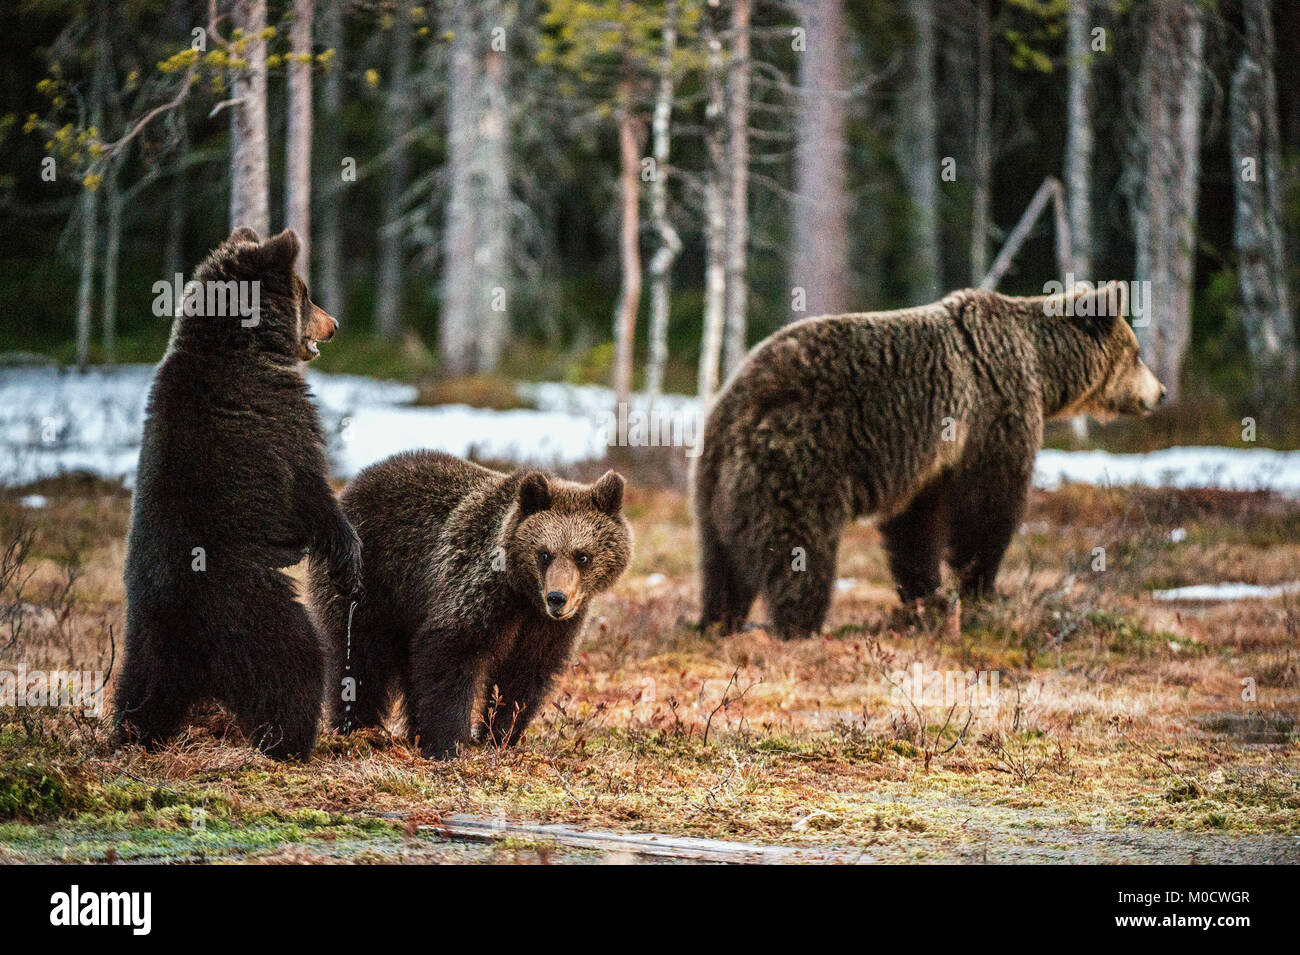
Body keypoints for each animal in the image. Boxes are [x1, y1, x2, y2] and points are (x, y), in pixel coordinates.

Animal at [114, 227, 363, 760]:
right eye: (306, 293)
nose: (334, 324)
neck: (243, 345)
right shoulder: (280, 421)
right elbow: (311, 489)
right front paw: (350, 555)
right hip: (252, 614)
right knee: (296, 667)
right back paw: (294, 743)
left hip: (143, 641)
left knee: (138, 692)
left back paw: (130, 735)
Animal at [307, 451, 631, 759]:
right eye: (545, 554)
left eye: (582, 555)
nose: (557, 598)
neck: (523, 594)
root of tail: (357, 482)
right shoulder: (475, 590)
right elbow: (451, 655)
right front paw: (446, 743)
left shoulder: (547, 627)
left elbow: (524, 673)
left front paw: (500, 735)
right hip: (372, 581)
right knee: (361, 655)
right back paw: (356, 729)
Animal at [693, 281, 1165, 639]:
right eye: (1138, 353)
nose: (1160, 393)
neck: (1042, 368)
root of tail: (735, 407)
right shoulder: (996, 412)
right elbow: (988, 509)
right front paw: (981, 590)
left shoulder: (931, 463)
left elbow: (915, 526)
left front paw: (926, 595)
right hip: (801, 460)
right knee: (801, 550)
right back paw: (801, 627)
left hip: (716, 487)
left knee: (722, 561)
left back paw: (719, 621)